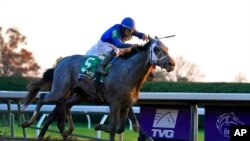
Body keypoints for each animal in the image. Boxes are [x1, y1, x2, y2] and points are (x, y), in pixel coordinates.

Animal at [21, 36, 175, 141]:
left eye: (167, 48)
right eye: (156, 49)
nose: (172, 64)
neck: (127, 72)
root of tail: (61, 62)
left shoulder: (125, 105)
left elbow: (120, 128)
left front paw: (98, 126)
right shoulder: (115, 103)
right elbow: (113, 129)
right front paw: (100, 127)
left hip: (77, 95)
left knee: (61, 109)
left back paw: (65, 131)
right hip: (60, 90)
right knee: (42, 98)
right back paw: (29, 122)